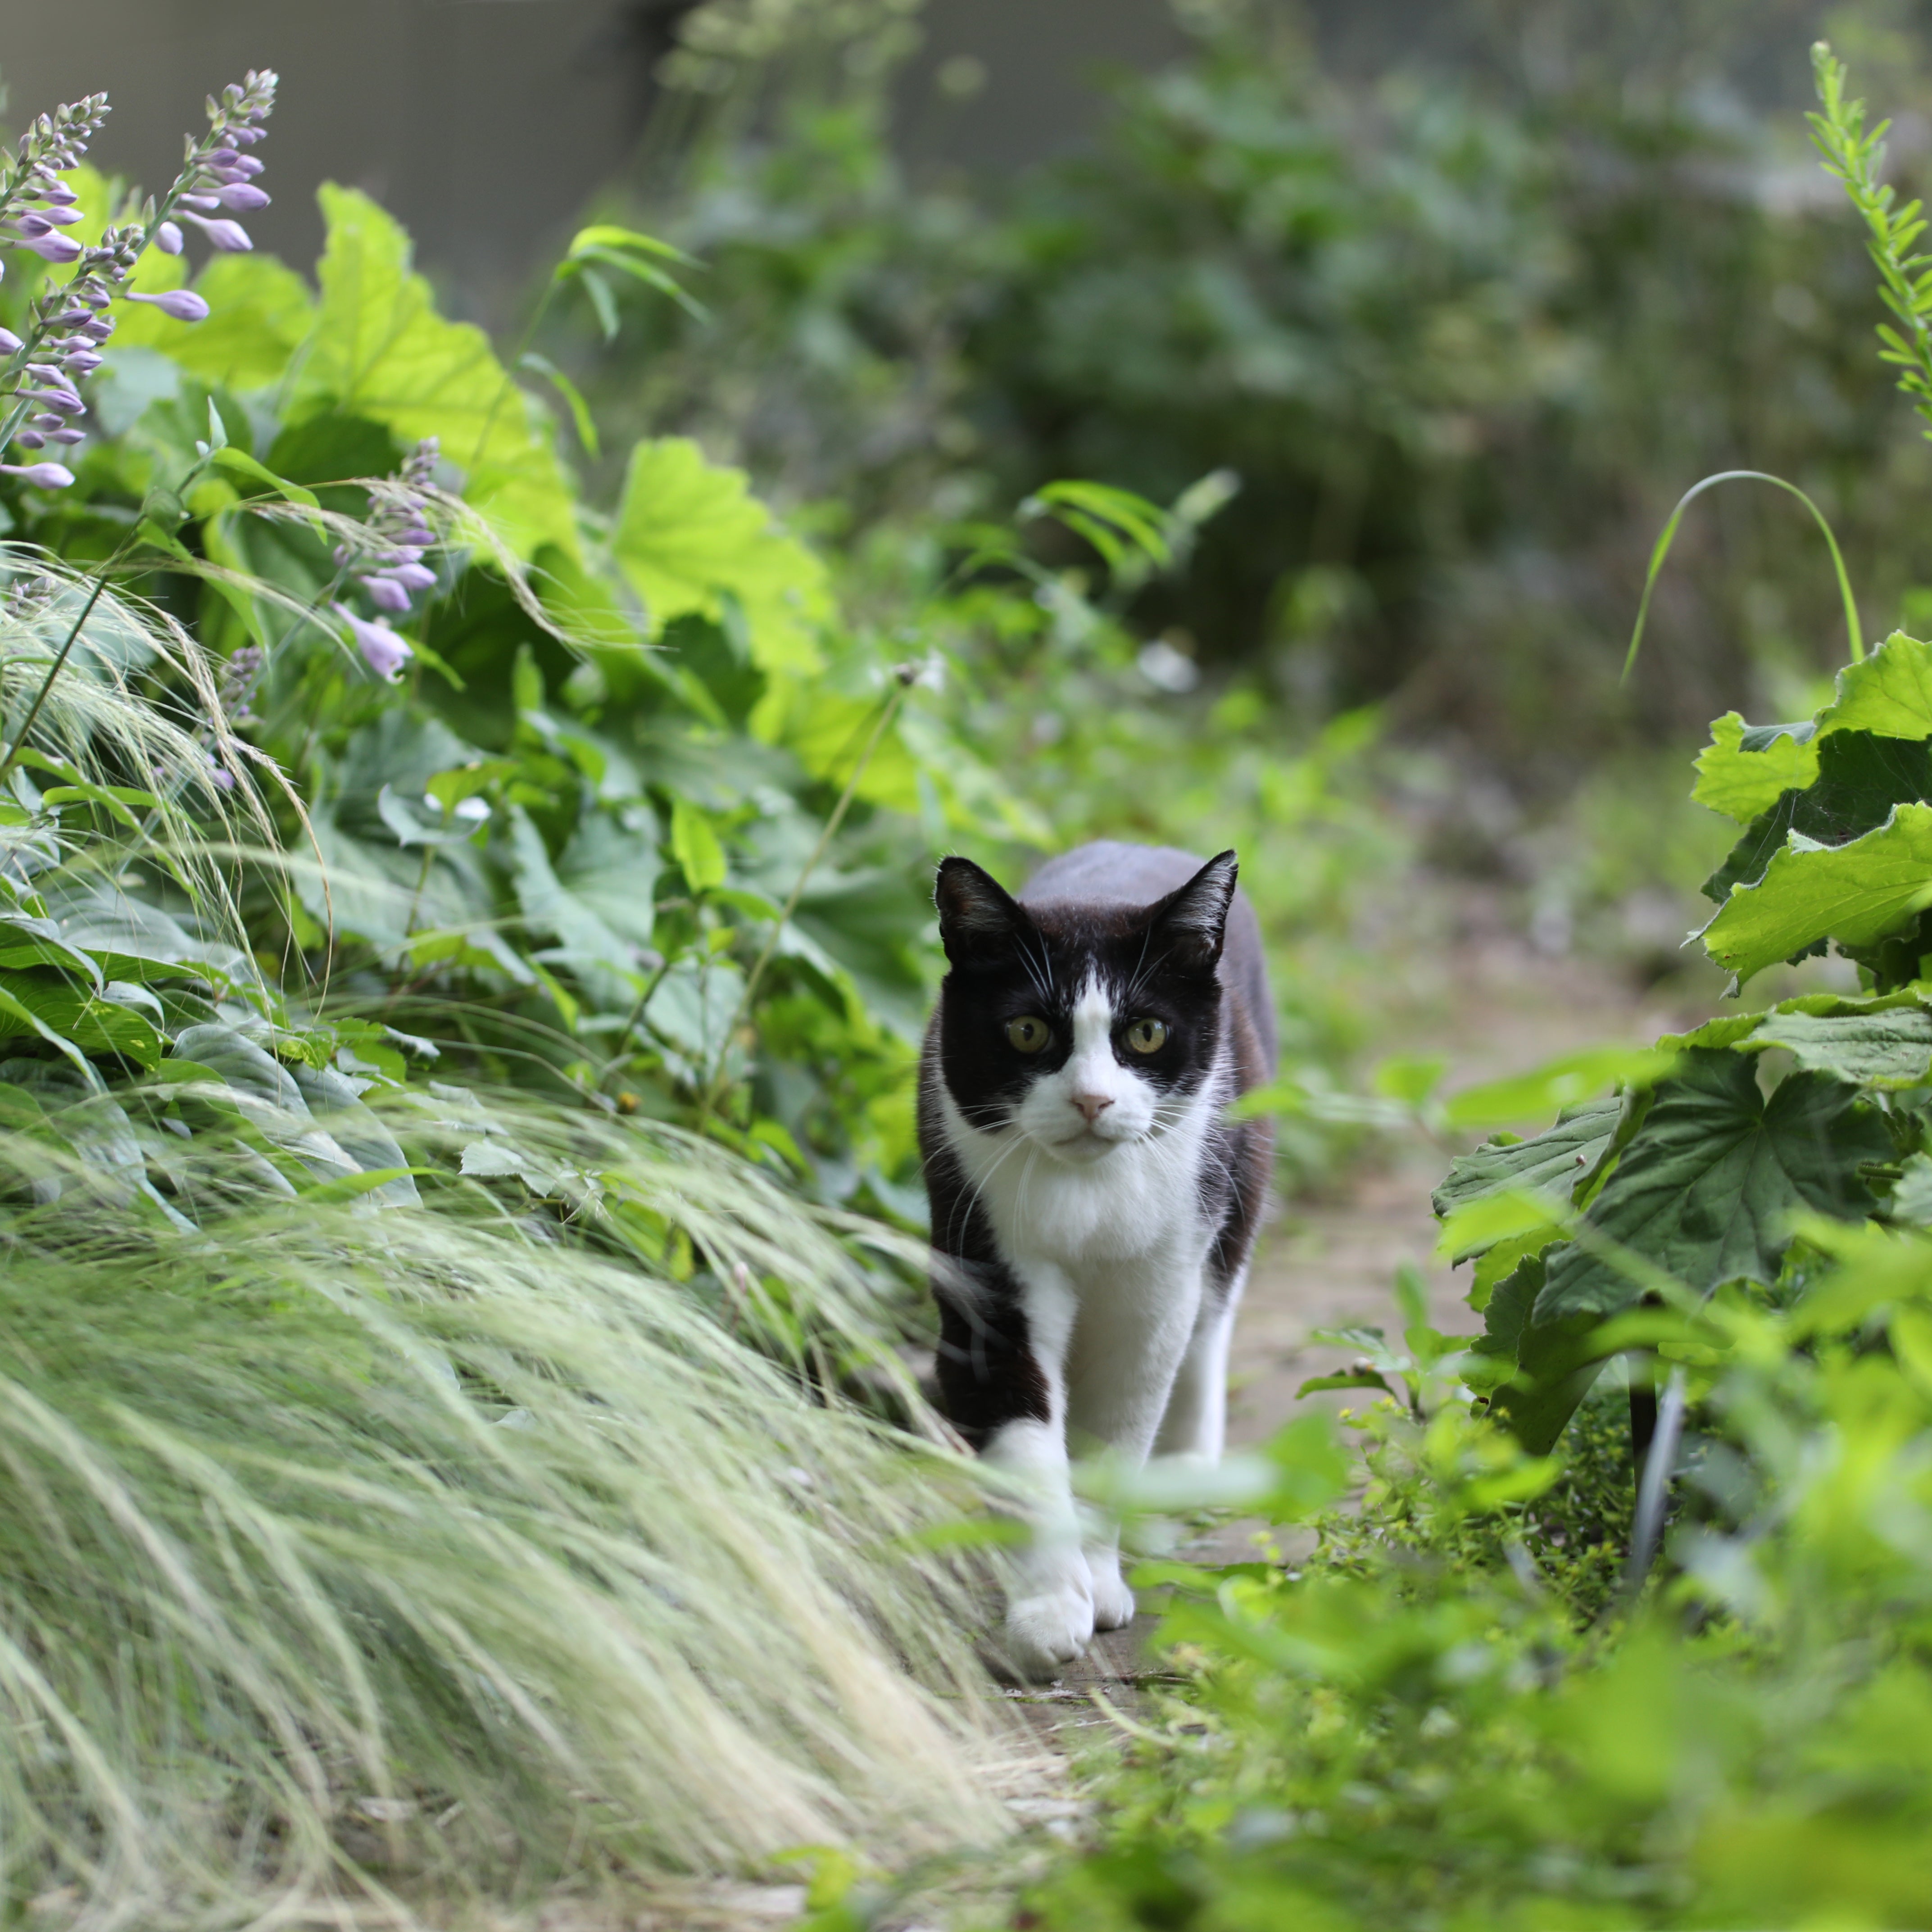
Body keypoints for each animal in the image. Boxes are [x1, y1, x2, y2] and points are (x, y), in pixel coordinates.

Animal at [916, 846, 1275, 1677]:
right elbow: (1023, 1443)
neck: (1086, 1198)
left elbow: (1120, 1428)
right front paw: (1049, 1610)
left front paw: (1103, 1582)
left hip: (1237, 1162)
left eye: (1144, 1034)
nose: (1091, 1101)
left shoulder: (1155, 1285)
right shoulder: (983, 1250)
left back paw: (1185, 1471)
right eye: (1025, 1031)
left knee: (1212, 1316)